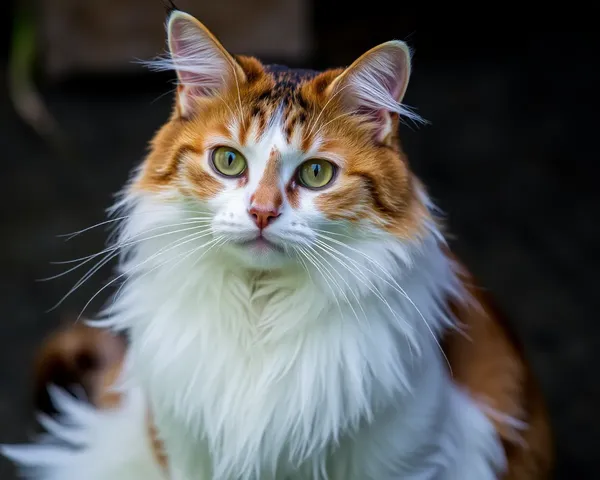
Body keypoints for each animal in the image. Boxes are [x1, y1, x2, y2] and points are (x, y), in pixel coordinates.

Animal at [0, 7, 552, 480]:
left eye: (316, 173)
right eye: (228, 161)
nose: (262, 212)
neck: (259, 308)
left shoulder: (410, 453)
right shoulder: (186, 447)